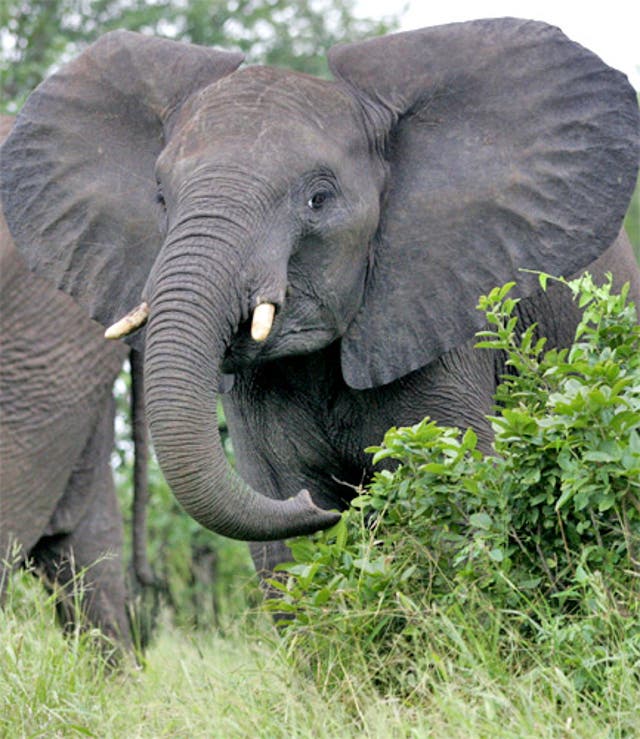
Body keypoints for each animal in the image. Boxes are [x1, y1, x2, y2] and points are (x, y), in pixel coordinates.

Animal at [1, 19, 639, 581]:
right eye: (160, 196)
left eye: (318, 199)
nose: (322, 506)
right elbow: (281, 544)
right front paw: (300, 507)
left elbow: (457, 494)